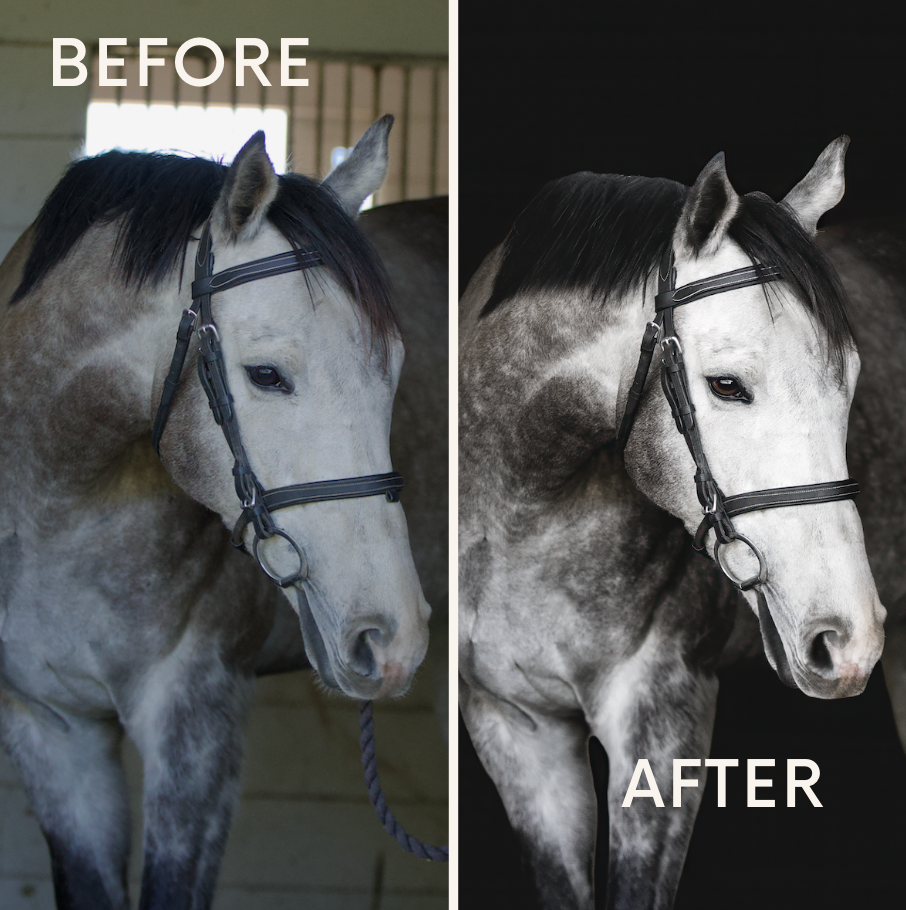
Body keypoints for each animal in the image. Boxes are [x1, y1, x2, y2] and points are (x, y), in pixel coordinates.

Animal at [0, 116, 436, 910]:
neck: (57, 515)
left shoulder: (196, 718)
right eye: (266, 375)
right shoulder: (48, 729)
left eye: (393, 371)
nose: (391, 639)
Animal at [458, 138, 886, 910]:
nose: (849, 641)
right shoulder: (515, 727)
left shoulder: (661, 721)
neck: (518, 527)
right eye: (727, 386)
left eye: (849, 381)